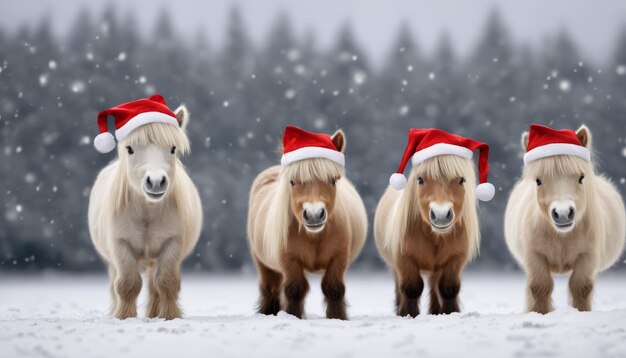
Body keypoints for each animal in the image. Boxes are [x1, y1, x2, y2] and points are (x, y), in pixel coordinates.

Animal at [86, 100, 200, 318]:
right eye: (130, 149)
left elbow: (166, 283)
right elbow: (127, 284)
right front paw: (124, 316)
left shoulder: (172, 245)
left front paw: (169, 316)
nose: (155, 182)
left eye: (173, 148)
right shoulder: (120, 245)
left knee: (155, 286)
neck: (147, 212)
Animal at [247, 127, 368, 320]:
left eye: (333, 180)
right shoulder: (289, 261)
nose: (314, 215)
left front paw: (337, 317)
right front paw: (294, 316)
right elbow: (295, 290)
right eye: (292, 181)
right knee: (270, 288)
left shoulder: (338, 258)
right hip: (264, 263)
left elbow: (334, 289)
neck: (314, 237)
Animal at [372, 155, 480, 318]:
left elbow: (449, 289)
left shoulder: (454, 259)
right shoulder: (405, 260)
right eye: (420, 179)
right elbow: (411, 289)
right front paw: (408, 314)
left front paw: (450, 312)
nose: (441, 215)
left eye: (461, 180)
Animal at [502, 125, 624, 314]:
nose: (563, 213)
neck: (562, 237)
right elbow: (540, 287)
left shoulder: (587, 257)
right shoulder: (535, 257)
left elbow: (580, 287)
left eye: (581, 177)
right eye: (538, 180)